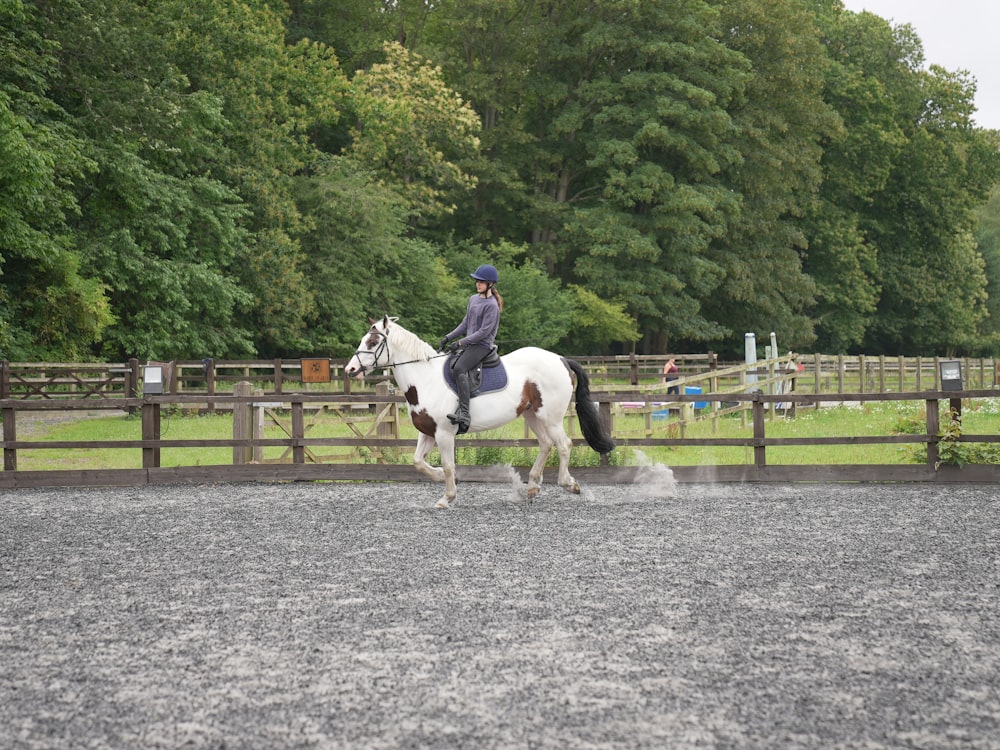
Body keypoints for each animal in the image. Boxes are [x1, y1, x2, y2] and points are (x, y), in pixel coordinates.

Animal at [344, 318, 612, 512]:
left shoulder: (444, 434)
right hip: (532, 415)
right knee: (546, 444)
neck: (425, 379)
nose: (350, 369)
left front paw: (447, 498)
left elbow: (449, 465)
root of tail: (561, 359)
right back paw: (532, 487)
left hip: (551, 417)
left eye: (372, 343)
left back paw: (569, 484)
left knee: (564, 445)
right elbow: (418, 462)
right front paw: (439, 476)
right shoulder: (428, 432)